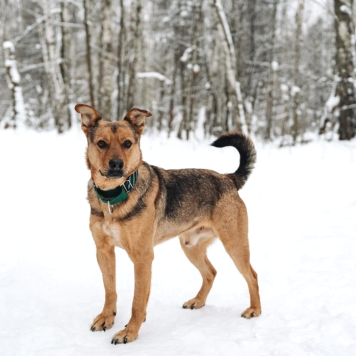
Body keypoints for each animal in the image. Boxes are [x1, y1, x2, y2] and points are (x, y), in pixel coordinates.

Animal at [74, 103, 262, 344]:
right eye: (101, 143)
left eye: (127, 143)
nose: (116, 164)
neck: (113, 197)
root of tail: (229, 178)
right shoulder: (103, 251)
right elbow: (110, 290)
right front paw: (107, 318)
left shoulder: (142, 257)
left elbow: (138, 301)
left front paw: (130, 332)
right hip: (191, 246)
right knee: (211, 272)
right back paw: (197, 301)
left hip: (235, 245)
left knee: (252, 275)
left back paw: (255, 310)